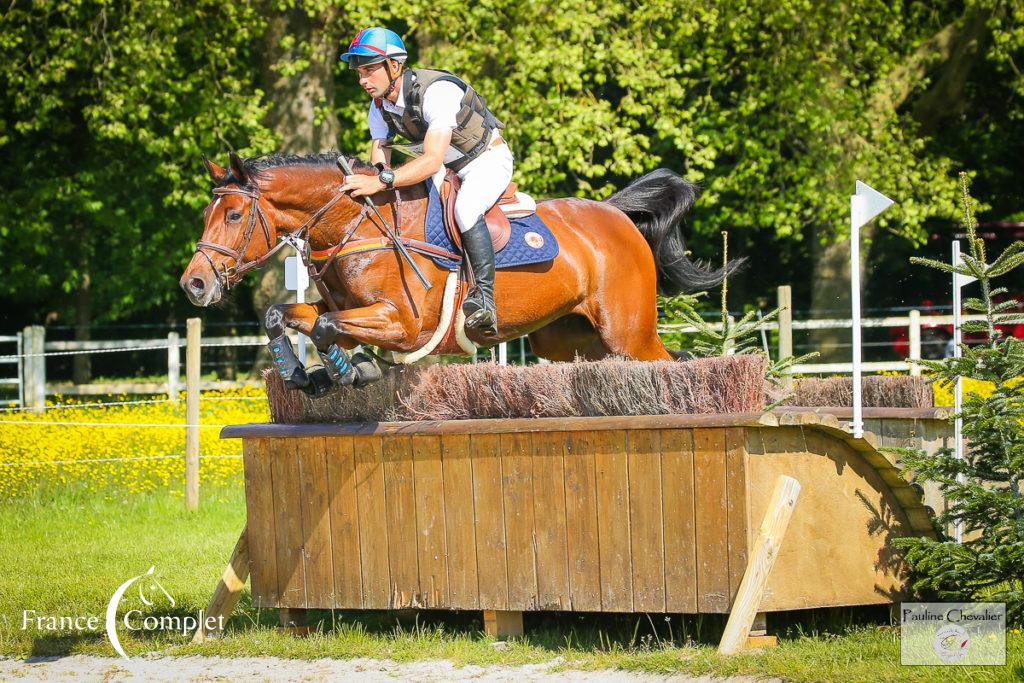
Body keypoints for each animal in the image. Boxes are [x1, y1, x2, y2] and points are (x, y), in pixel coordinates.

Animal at [180, 151, 733, 393]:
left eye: (234, 215)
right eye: (206, 214)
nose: (194, 284)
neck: (356, 225)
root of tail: (616, 214)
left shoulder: (405, 325)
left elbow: (324, 326)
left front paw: (349, 371)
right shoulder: (354, 310)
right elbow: (285, 315)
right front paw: (302, 372)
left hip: (627, 332)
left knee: (669, 359)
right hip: (569, 338)